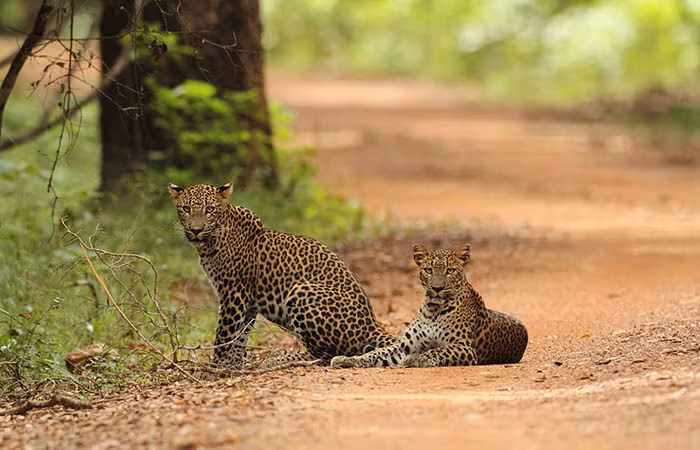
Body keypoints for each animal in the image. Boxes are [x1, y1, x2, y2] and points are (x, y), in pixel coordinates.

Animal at [167, 182, 396, 368]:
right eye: (186, 209)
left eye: (210, 209)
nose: (196, 230)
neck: (211, 243)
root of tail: (371, 325)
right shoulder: (248, 303)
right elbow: (240, 336)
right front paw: (233, 365)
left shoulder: (233, 294)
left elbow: (224, 335)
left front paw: (215, 368)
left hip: (301, 290)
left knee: (324, 355)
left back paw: (277, 359)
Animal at [331, 243, 528, 368]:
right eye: (428, 270)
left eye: (450, 271)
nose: (437, 288)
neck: (433, 310)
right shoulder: (403, 347)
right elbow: (376, 353)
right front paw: (348, 360)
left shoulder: (464, 347)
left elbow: (437, 351)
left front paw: (414, 359)